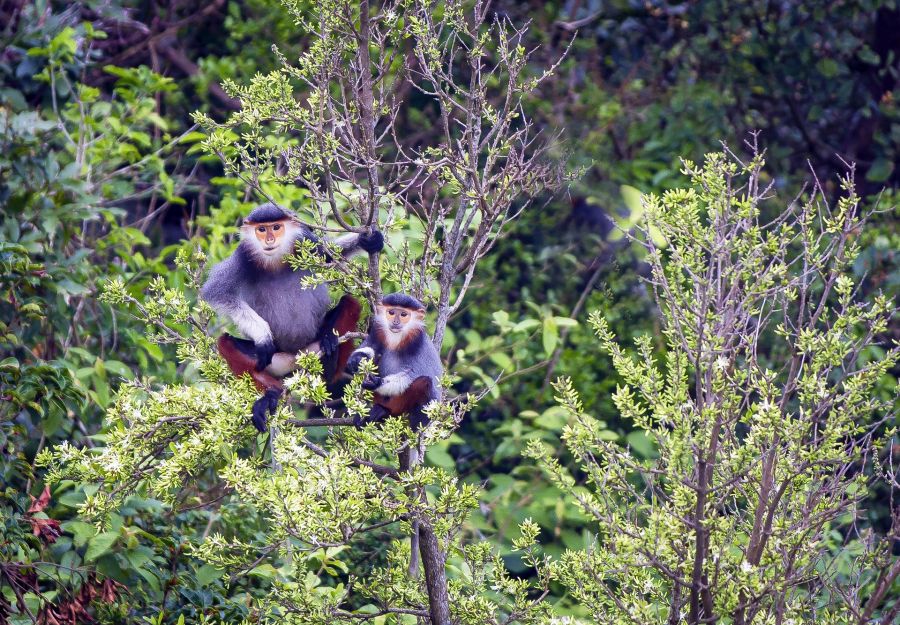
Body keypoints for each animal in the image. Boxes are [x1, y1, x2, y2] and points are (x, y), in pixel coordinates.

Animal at [200, 202, 384, 432]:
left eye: (276, 227)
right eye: (262, 229)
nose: (269, 240)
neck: (276, 260)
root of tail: (296, 357)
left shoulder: (306, 242)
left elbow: (331, 256)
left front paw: (367, 240)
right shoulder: (242, 256)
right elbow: (217, 293)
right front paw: (262, 335)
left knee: (350, 302)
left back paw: (329, 350)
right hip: (274, 362)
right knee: (226, 343)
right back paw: (271, 395)